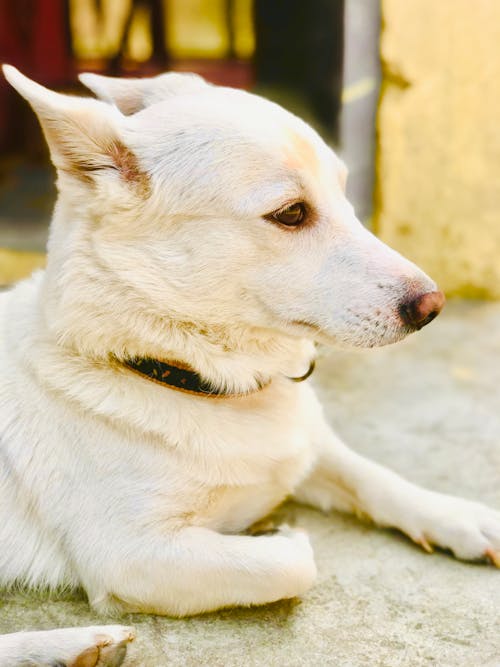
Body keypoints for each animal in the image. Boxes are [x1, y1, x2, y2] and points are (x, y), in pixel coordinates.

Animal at [0, 68, 500, 667]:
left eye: (344, 190)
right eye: (291, 214)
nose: (433, 306)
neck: (189, 378)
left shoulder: (308, 447)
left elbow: (375, 476)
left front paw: (460, 517)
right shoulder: (131, 556)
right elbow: (292, 564)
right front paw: (279, 535)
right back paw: (67, 647)